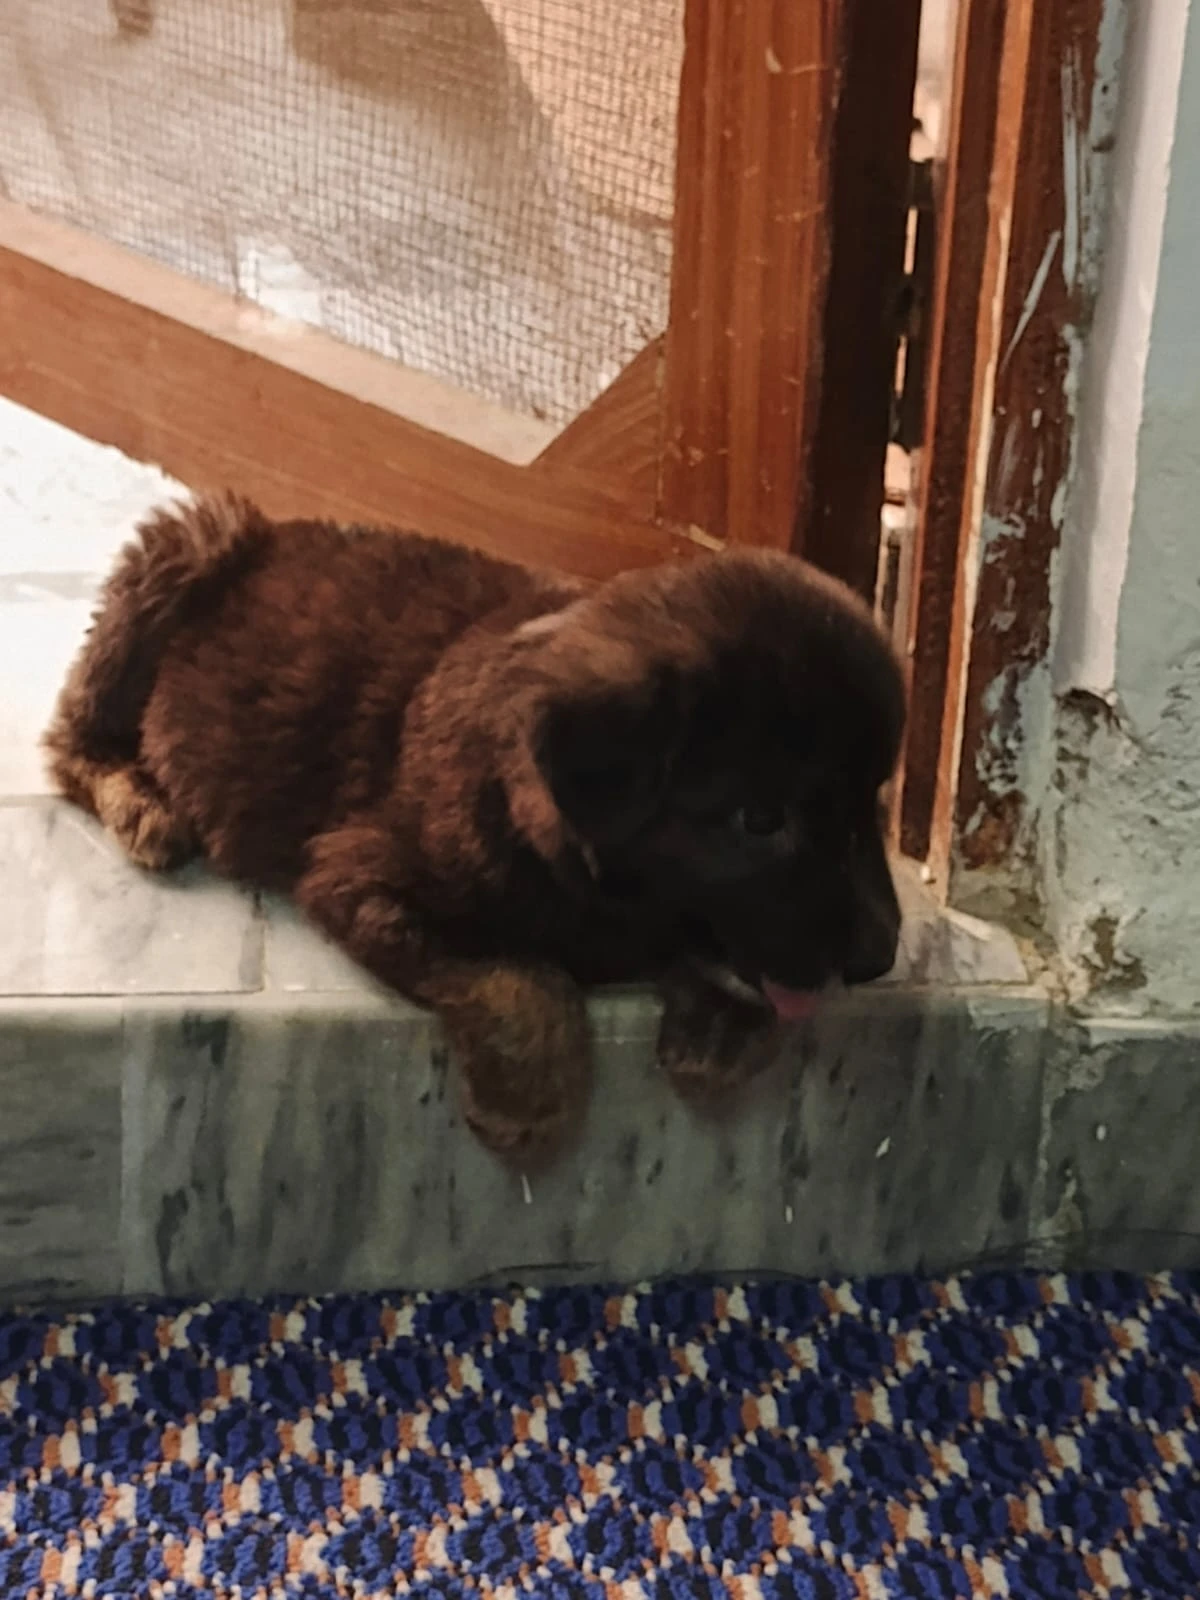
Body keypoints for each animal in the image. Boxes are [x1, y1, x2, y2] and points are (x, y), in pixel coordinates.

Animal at [49, 492, 908, 1158]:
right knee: (68, 739)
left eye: (873, 803)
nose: (878, 958)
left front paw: (722, 1026)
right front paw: (532, 1103)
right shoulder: (360, 875)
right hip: (182, 550)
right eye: (760, 819)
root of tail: (273, 527)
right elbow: (520, 972)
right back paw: (143, 803)